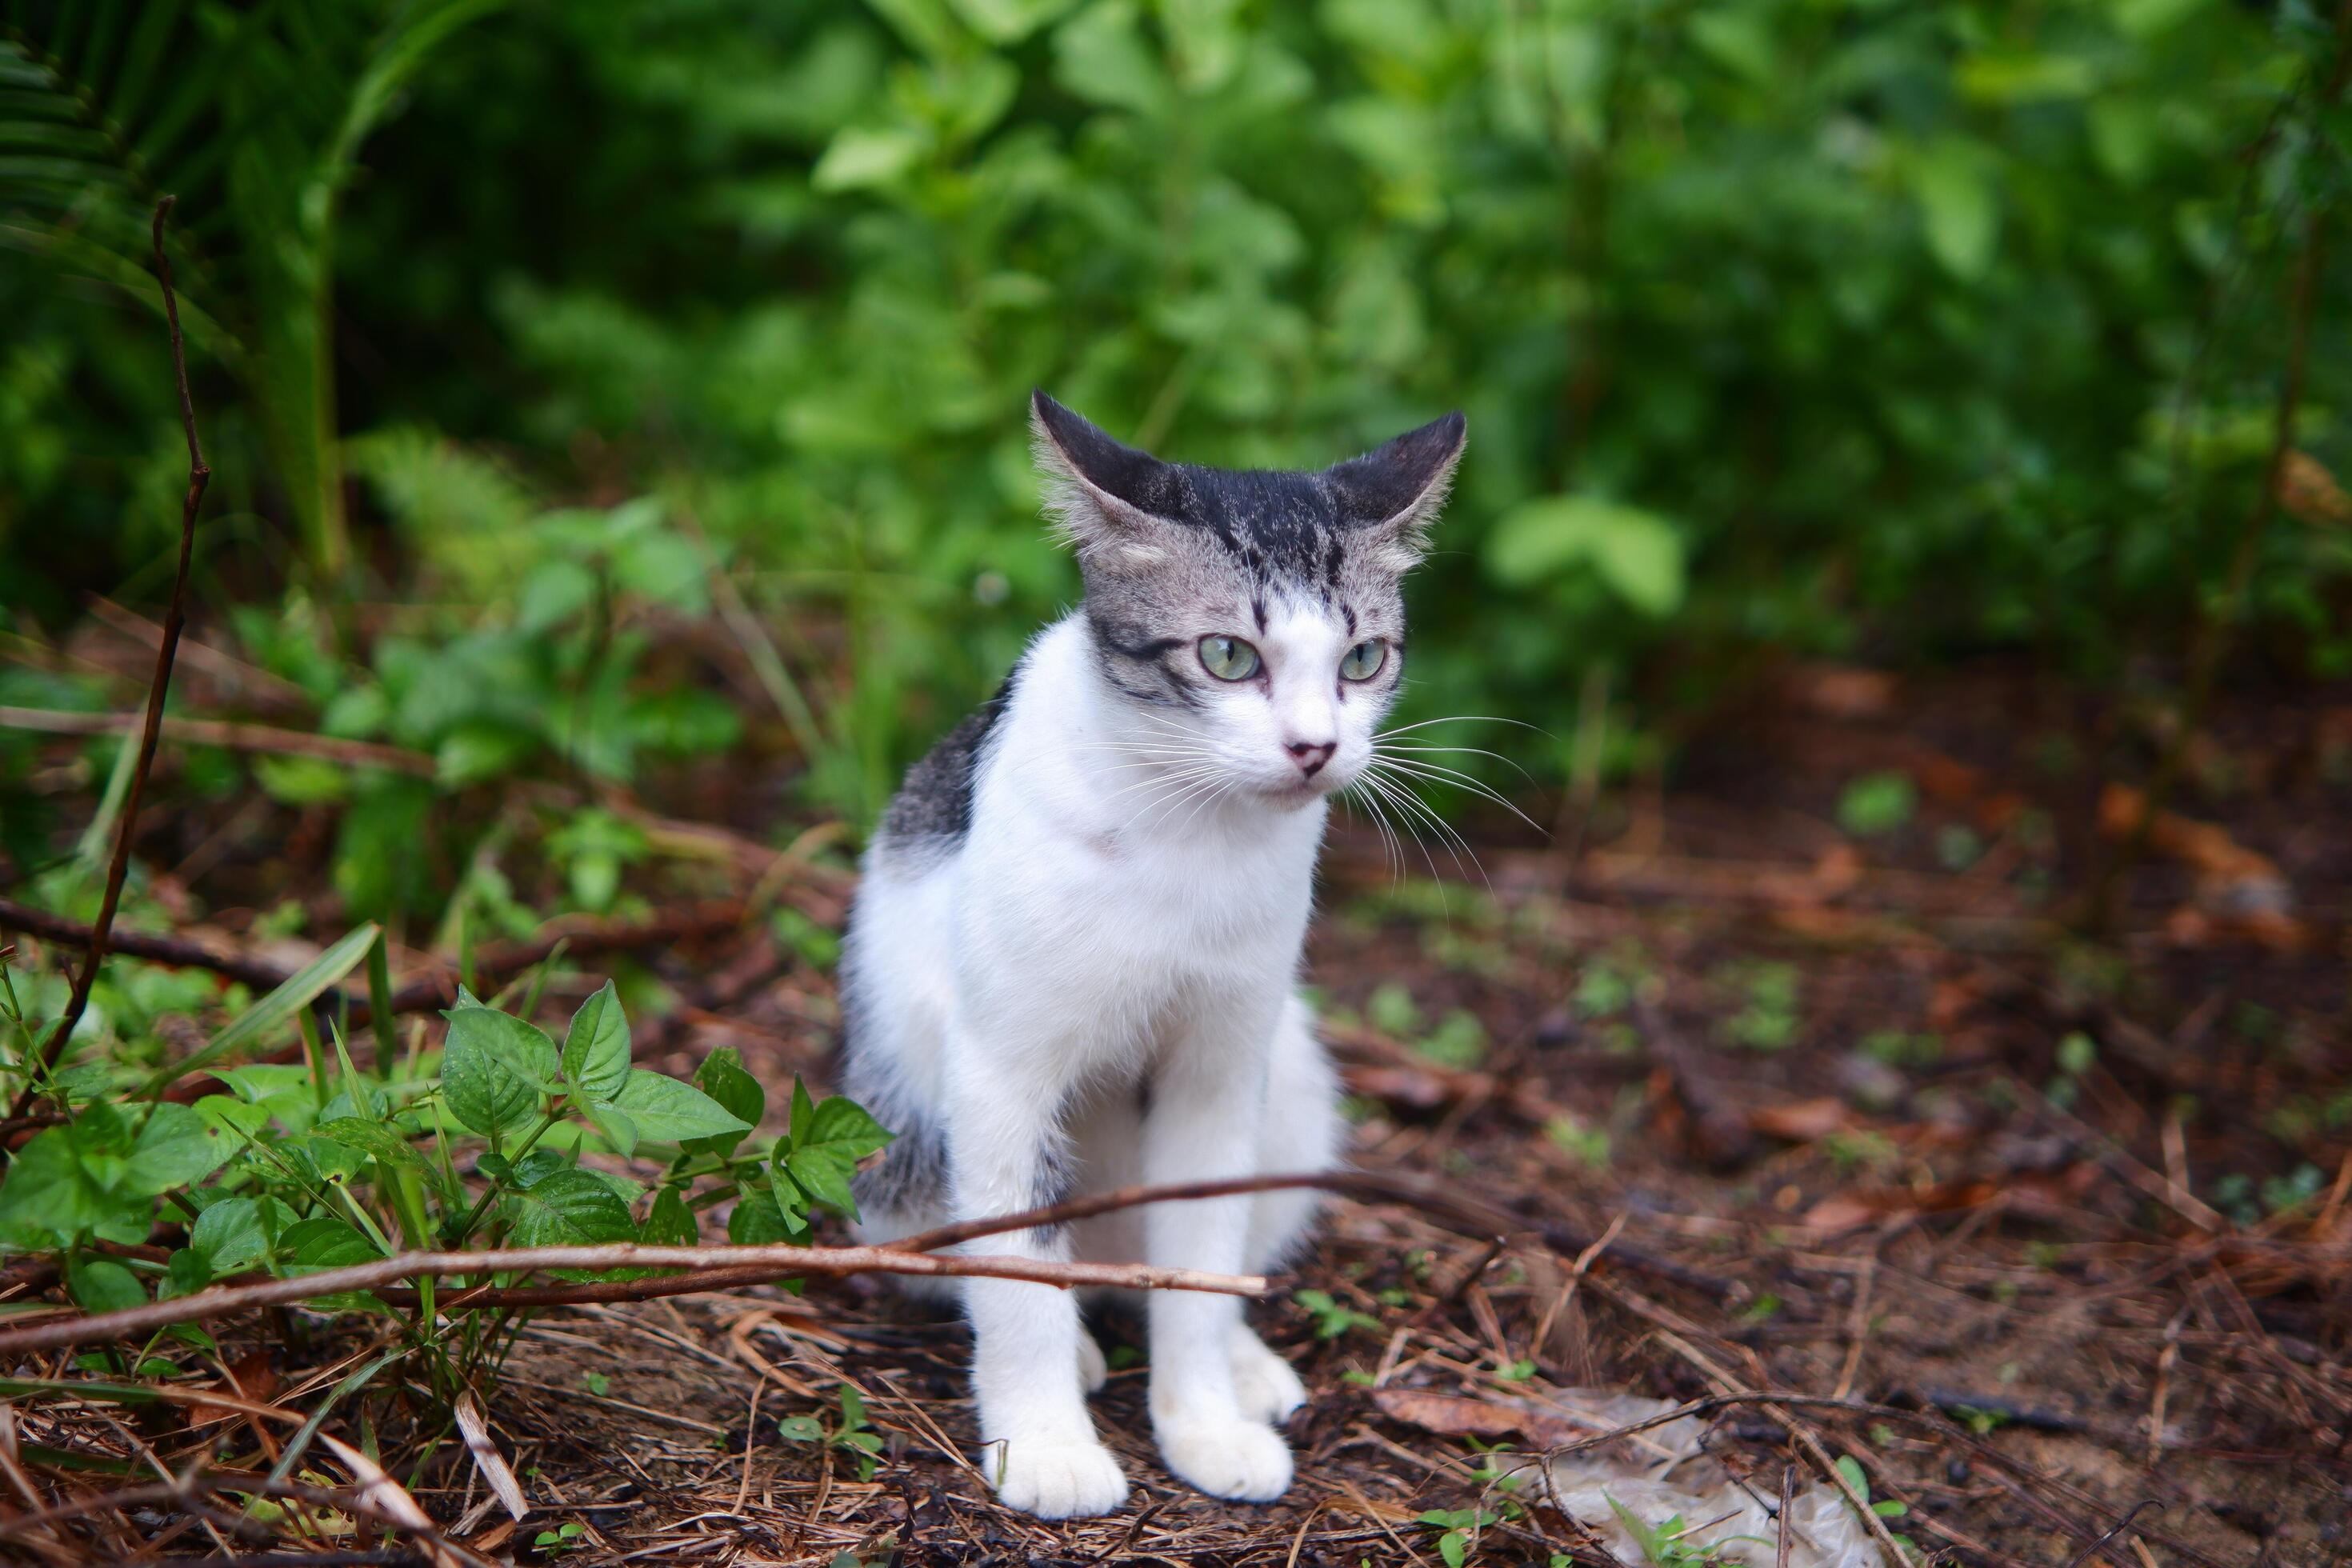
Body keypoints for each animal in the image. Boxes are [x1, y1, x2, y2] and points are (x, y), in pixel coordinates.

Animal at [837, 392, 1458, 1523]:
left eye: (1362, 661)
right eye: (1227, 657)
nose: (1316, 746)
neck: (1188, 827)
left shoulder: (1221, 1065)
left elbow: (1201, 1262)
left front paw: (1204, 1421)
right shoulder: (998, 1070)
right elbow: (1019, 1264)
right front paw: (1046, 1446)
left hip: (1291, 1073)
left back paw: (1241, 1362)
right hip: (894, 1123)